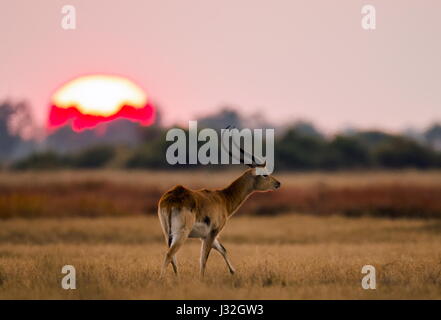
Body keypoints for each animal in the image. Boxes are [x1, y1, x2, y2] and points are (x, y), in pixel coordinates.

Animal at [158, 126, 280, 276]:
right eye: (264, 174)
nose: (278, 183)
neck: (223, 198)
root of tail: (172, 198)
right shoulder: (213, 232)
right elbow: (204, 259)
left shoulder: (204, 236)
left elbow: (223, 249)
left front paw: (233, 272)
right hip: (182, 233)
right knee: (170, 254)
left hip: (167, 233)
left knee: (172, 257)